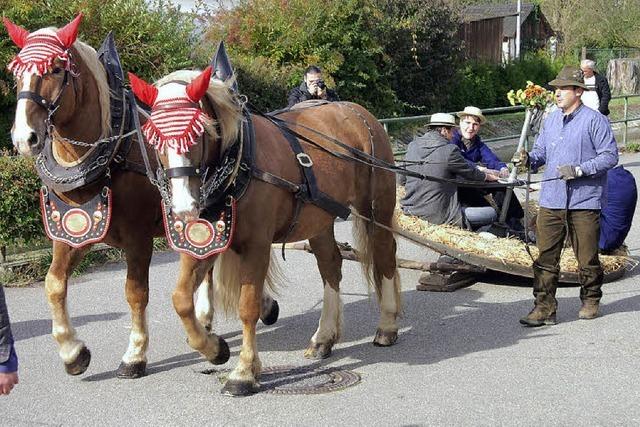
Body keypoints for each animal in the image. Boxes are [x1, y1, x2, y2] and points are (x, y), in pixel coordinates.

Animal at [129, 65, 400, 396]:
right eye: (152, 137)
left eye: (199, 132)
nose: (183, 207)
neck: (239, 163)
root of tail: (360, 113)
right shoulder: (206, 242)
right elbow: (181, 299)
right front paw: (214, 348)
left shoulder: (257, 245)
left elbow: (249, 307)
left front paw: (244, 372)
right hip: (319, 219)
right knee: (330, 266)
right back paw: (324, 337)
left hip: (376, 208)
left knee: (385, 257)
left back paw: (387, 326)